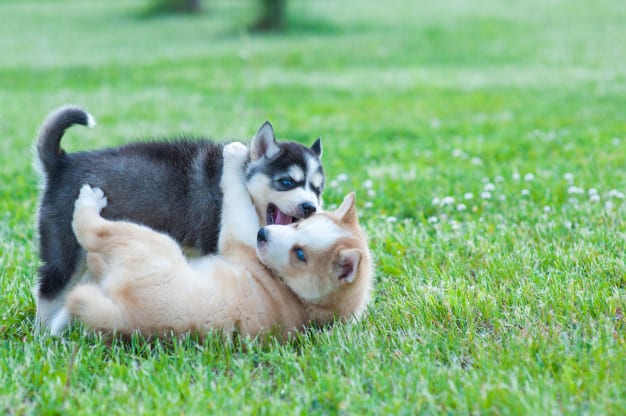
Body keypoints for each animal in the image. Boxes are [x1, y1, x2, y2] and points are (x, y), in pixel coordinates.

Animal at [33, 105, 326, 334]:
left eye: (317, 188)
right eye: (287, 182)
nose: (310, 207)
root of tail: (62, 163)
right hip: (63, 249)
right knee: (49, 290)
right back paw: (45, 335)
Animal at [64, 141, 370, 340]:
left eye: (301, 255)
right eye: (299, 226)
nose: (262, 234)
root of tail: (123, 318)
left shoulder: (238, 240)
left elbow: (236, 197)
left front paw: (234, 153)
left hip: (149, 242)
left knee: (92, 233)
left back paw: (88, 202)